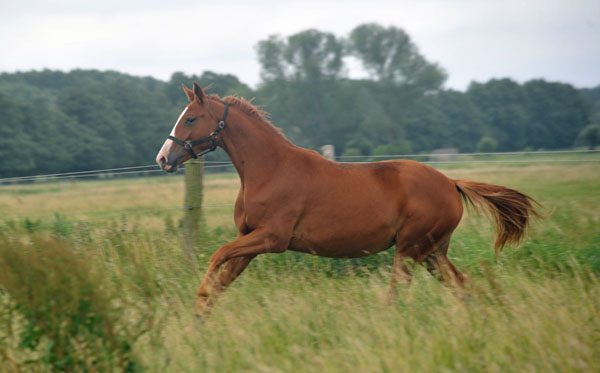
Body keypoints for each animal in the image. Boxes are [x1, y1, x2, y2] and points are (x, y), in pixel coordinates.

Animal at [155, 83, 540, 312]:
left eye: (191, 119)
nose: (163, 158)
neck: (269, 169)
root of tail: (450, 182)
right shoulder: (249, 241)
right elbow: (222, 279)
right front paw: (200, 316)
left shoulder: (272, 239)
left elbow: (217, 256)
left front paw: (198, 300)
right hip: (432, 252)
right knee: (461, 286)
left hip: (410, 249)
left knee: (397, 294)